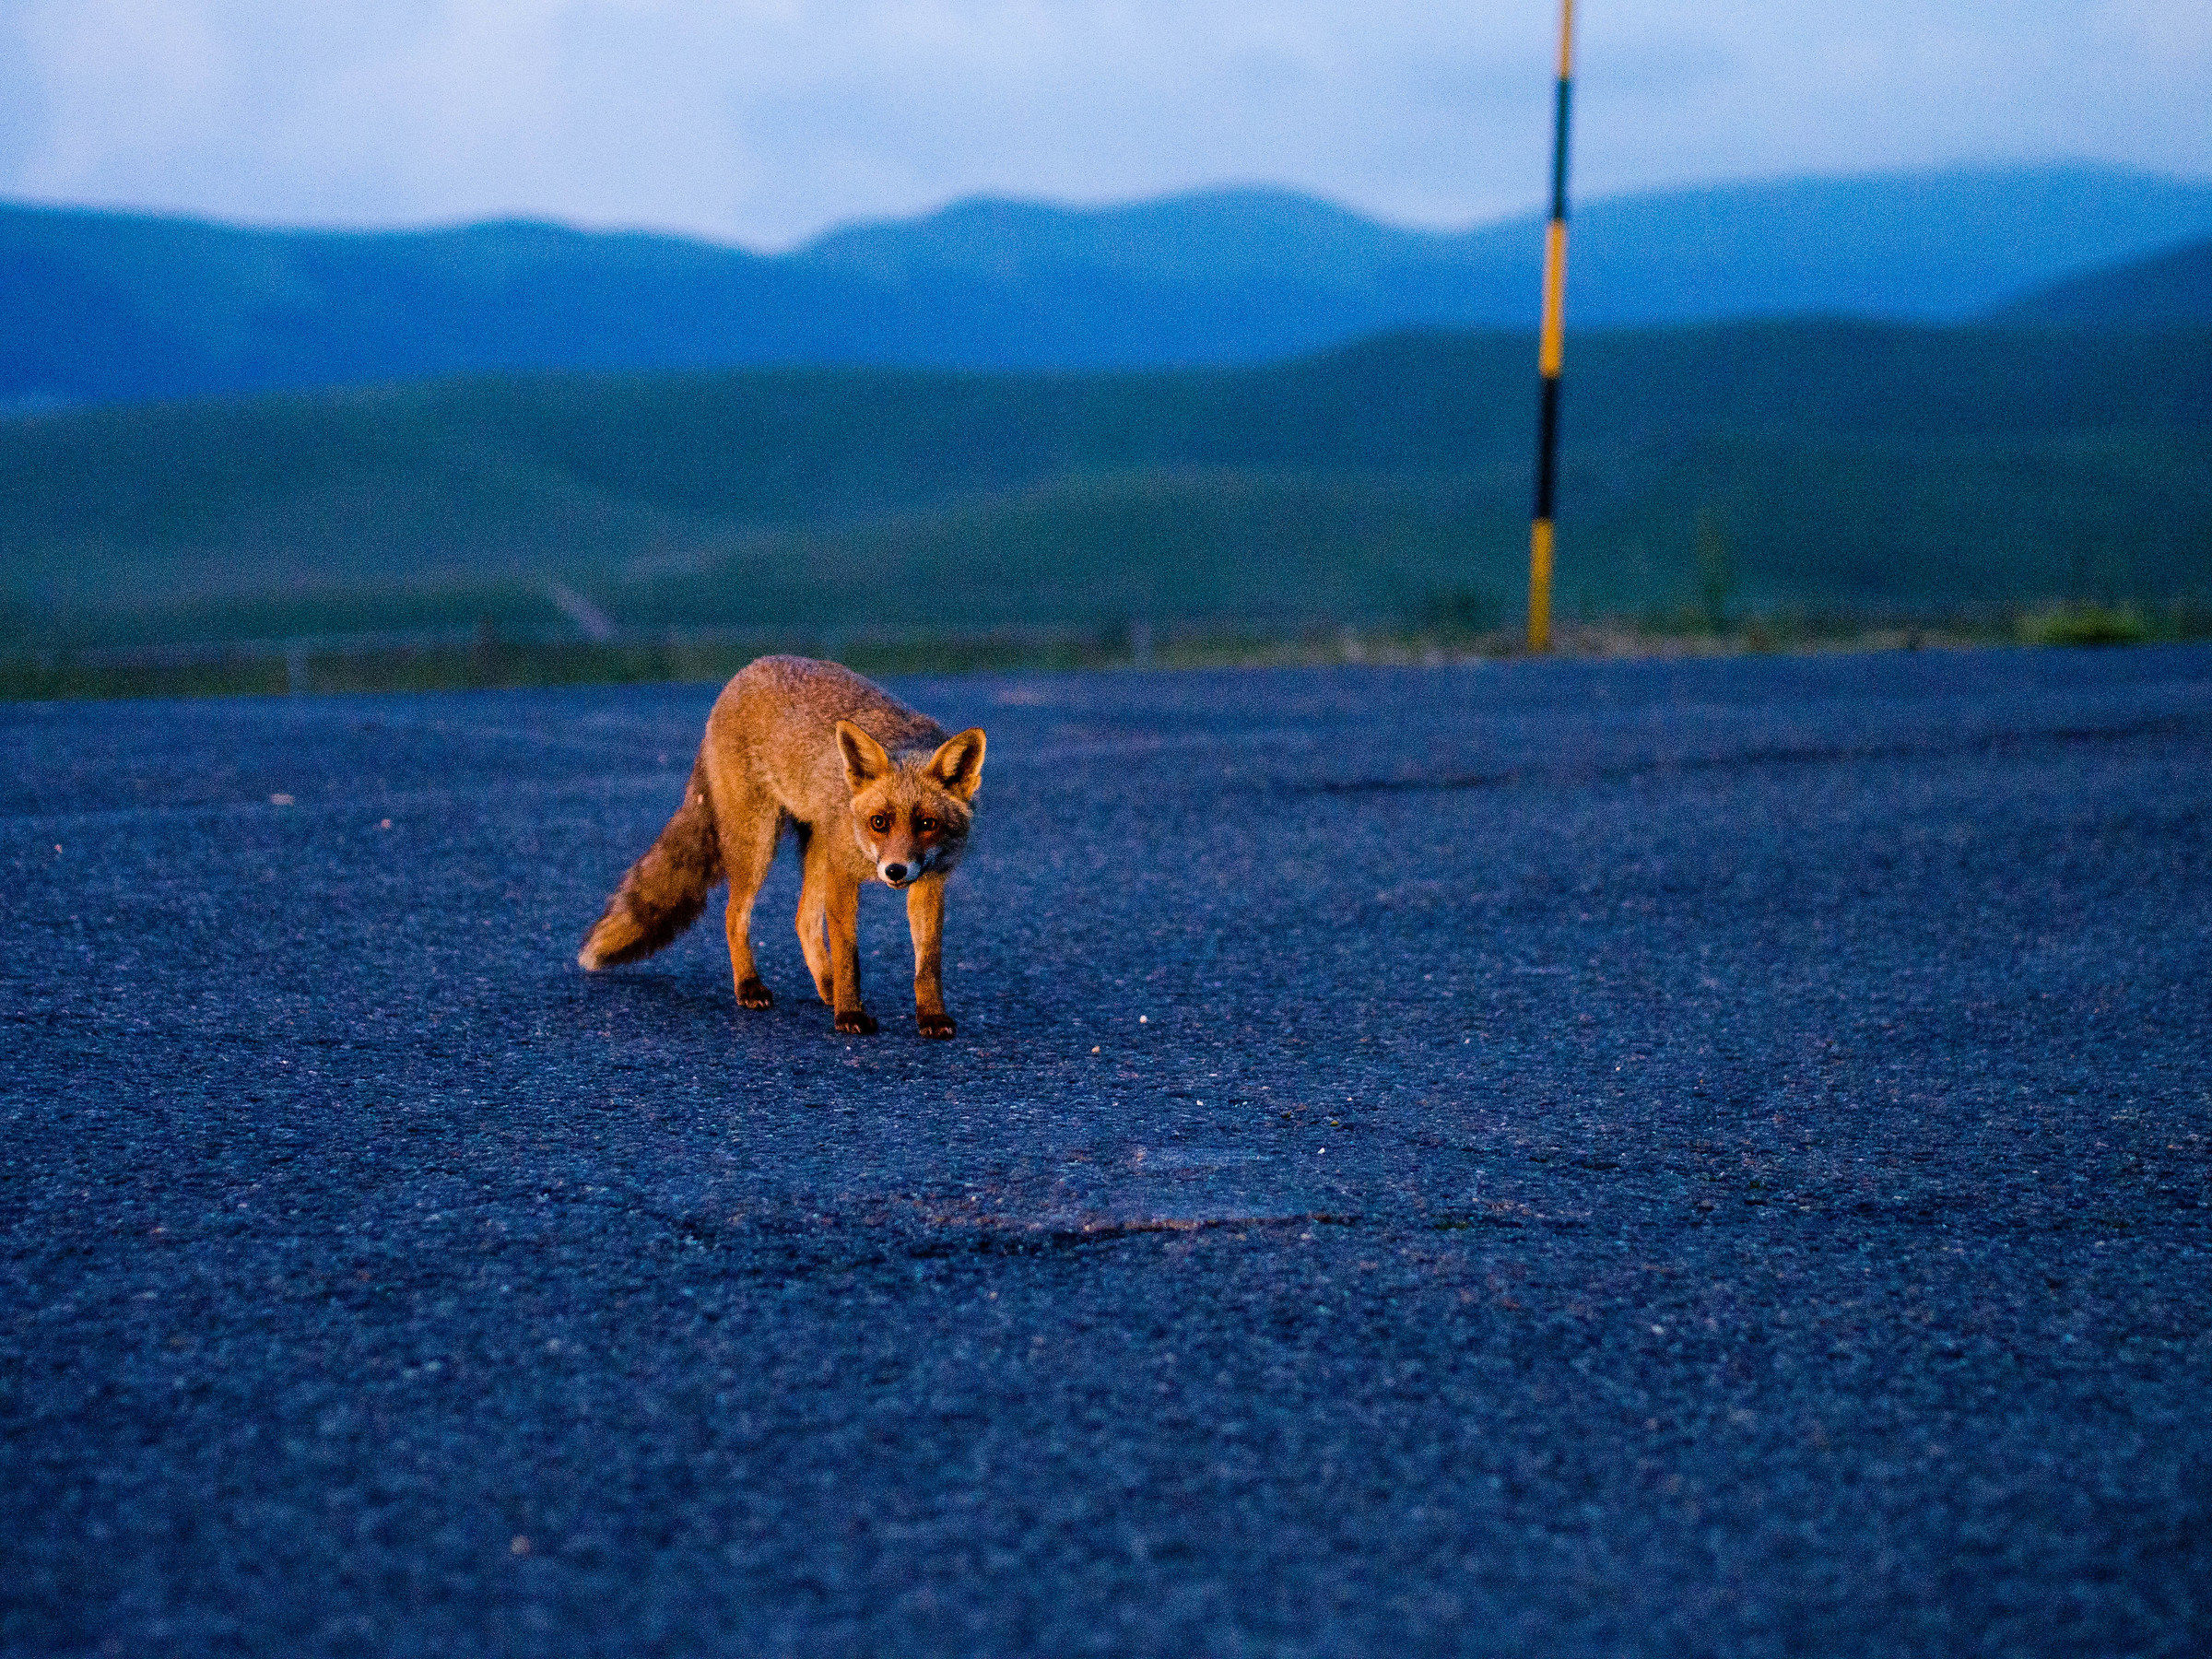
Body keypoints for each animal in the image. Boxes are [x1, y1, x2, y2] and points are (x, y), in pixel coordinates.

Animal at [578, 655, 986, 1038]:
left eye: (928, 824)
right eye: (879, 822)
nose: (895, 871)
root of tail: (746, 671)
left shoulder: (929, 881)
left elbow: (927, 963)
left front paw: (931, 1017)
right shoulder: (843, 873)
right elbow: (848, 955)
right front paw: (850, 1014)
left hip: (815, 849)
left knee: (802, 919)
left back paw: (826, 988)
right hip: (759, 845)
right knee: (734, 914)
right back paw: (750, 986)